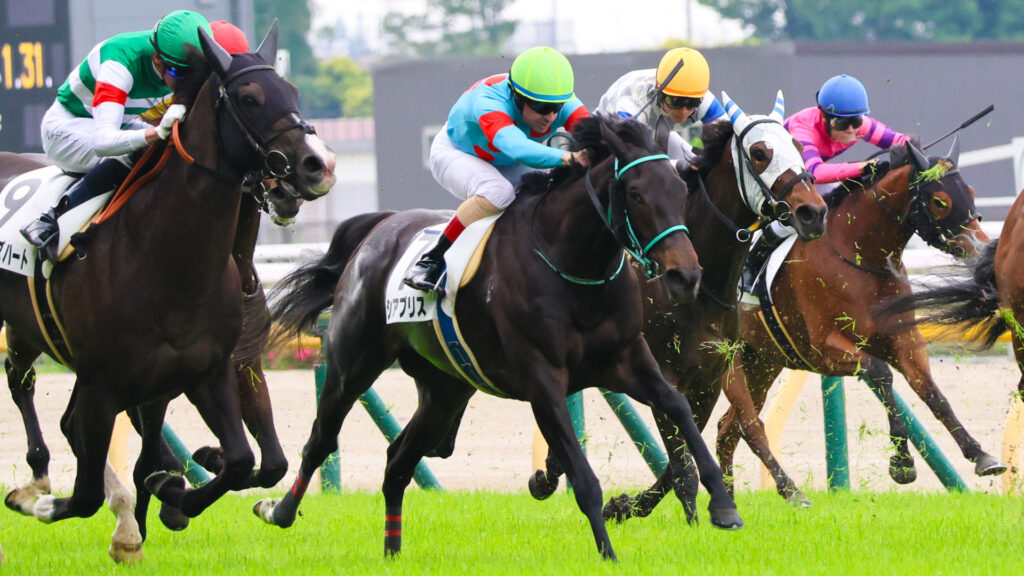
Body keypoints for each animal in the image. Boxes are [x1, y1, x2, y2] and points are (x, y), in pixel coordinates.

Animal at [0, 24, 335, 562]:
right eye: (249, 97)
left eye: (294, 92)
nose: (318, 165)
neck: (165, 257)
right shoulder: (104, 383)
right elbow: (88, 492)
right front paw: (48, 504)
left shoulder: (211, 369)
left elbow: (247, 461)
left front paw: (176, 493)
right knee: (25, 387)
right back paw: (40, 480)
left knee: (34, 391)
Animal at [254, 114, 743, 561]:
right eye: (636, 194)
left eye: (679, 190)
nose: (686, 276)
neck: (572, 265)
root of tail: (377, 231)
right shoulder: (543, 381)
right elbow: (584, 480)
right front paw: (609, 555)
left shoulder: (627, 360)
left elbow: (678, 408)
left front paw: (723, 506)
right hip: (351, 364)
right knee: (320, 442)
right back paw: (276, 510)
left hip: (445, 390)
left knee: (398, 460)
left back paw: (392, 553)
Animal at [527, 92, 830, 519]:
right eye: (759, 153)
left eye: (800, 149)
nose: (813, 212)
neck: (701, 288)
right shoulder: (664, 373)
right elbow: (681, 458)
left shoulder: (709, 375)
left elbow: (685, 453)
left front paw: (627, 505)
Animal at [715, 137, 1006, 492]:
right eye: (940, 201)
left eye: (972, 192)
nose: (981, 248)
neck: (860, 258)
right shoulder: (822, 350)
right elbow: (881, 374)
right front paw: (902, 463)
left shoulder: (904, 341)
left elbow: (932, 393)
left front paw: (980, 454)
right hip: (729, 359)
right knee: (746, 425)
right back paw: (784, 491)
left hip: (761, 363)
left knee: (726, 430)